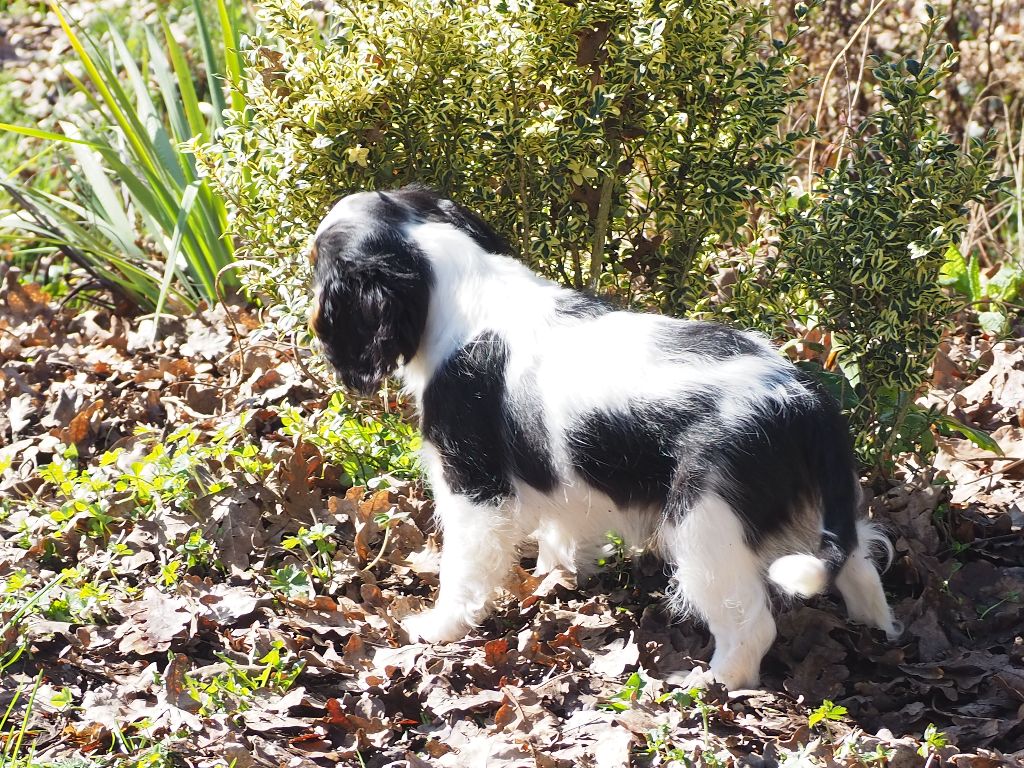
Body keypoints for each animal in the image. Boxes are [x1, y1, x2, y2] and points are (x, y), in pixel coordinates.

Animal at [309, 186, 897, 692]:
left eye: (316, 259)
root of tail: (802, 398)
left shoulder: (472, 487)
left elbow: (465, 568)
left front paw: (439, 628)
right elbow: (563, 534)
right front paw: (557, 579)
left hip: (704, 527)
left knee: (752, 625)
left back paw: (709, 684)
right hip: (815, 507)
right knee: (860, 563)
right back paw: (879, 632)